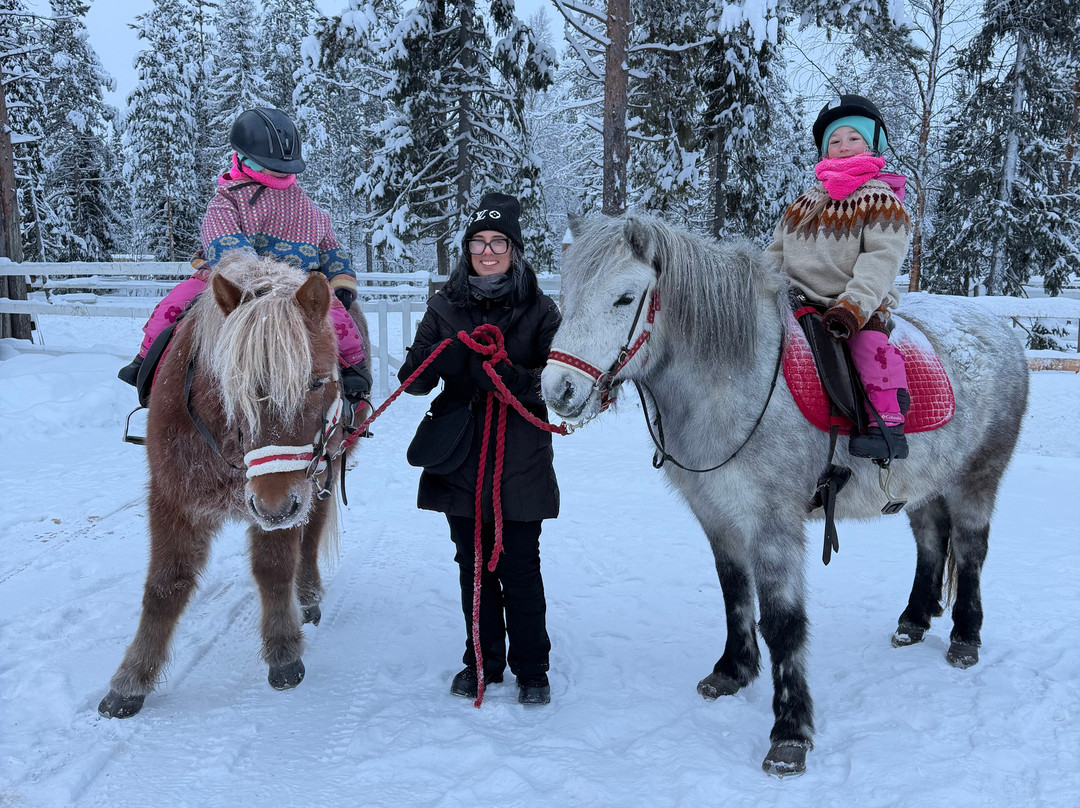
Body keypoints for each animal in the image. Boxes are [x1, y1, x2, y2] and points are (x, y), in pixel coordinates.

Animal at [99, 252, 349, 719]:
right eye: (233, 385)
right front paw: (132, 679)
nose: (273, 506)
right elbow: (164, 587)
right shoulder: (173, 500)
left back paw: (307, 595)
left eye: (316, 382)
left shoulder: (287, 491)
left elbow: (274, 569)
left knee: (310, 536)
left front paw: (283, 652)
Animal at [540, 214, 1028, 776]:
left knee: (969, 552)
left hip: (977, 478)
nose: (558, 389)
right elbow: (735, 597)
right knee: (931, 542)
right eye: (566, 292)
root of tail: (1000, 328)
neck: (735, 381)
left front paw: (790, 732)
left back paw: (965, 637)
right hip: (923, 485)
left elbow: (783, 623)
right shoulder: (719, 518)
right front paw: (733, 670)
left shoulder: (772, 524)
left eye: (623, 298)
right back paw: (913, 619)